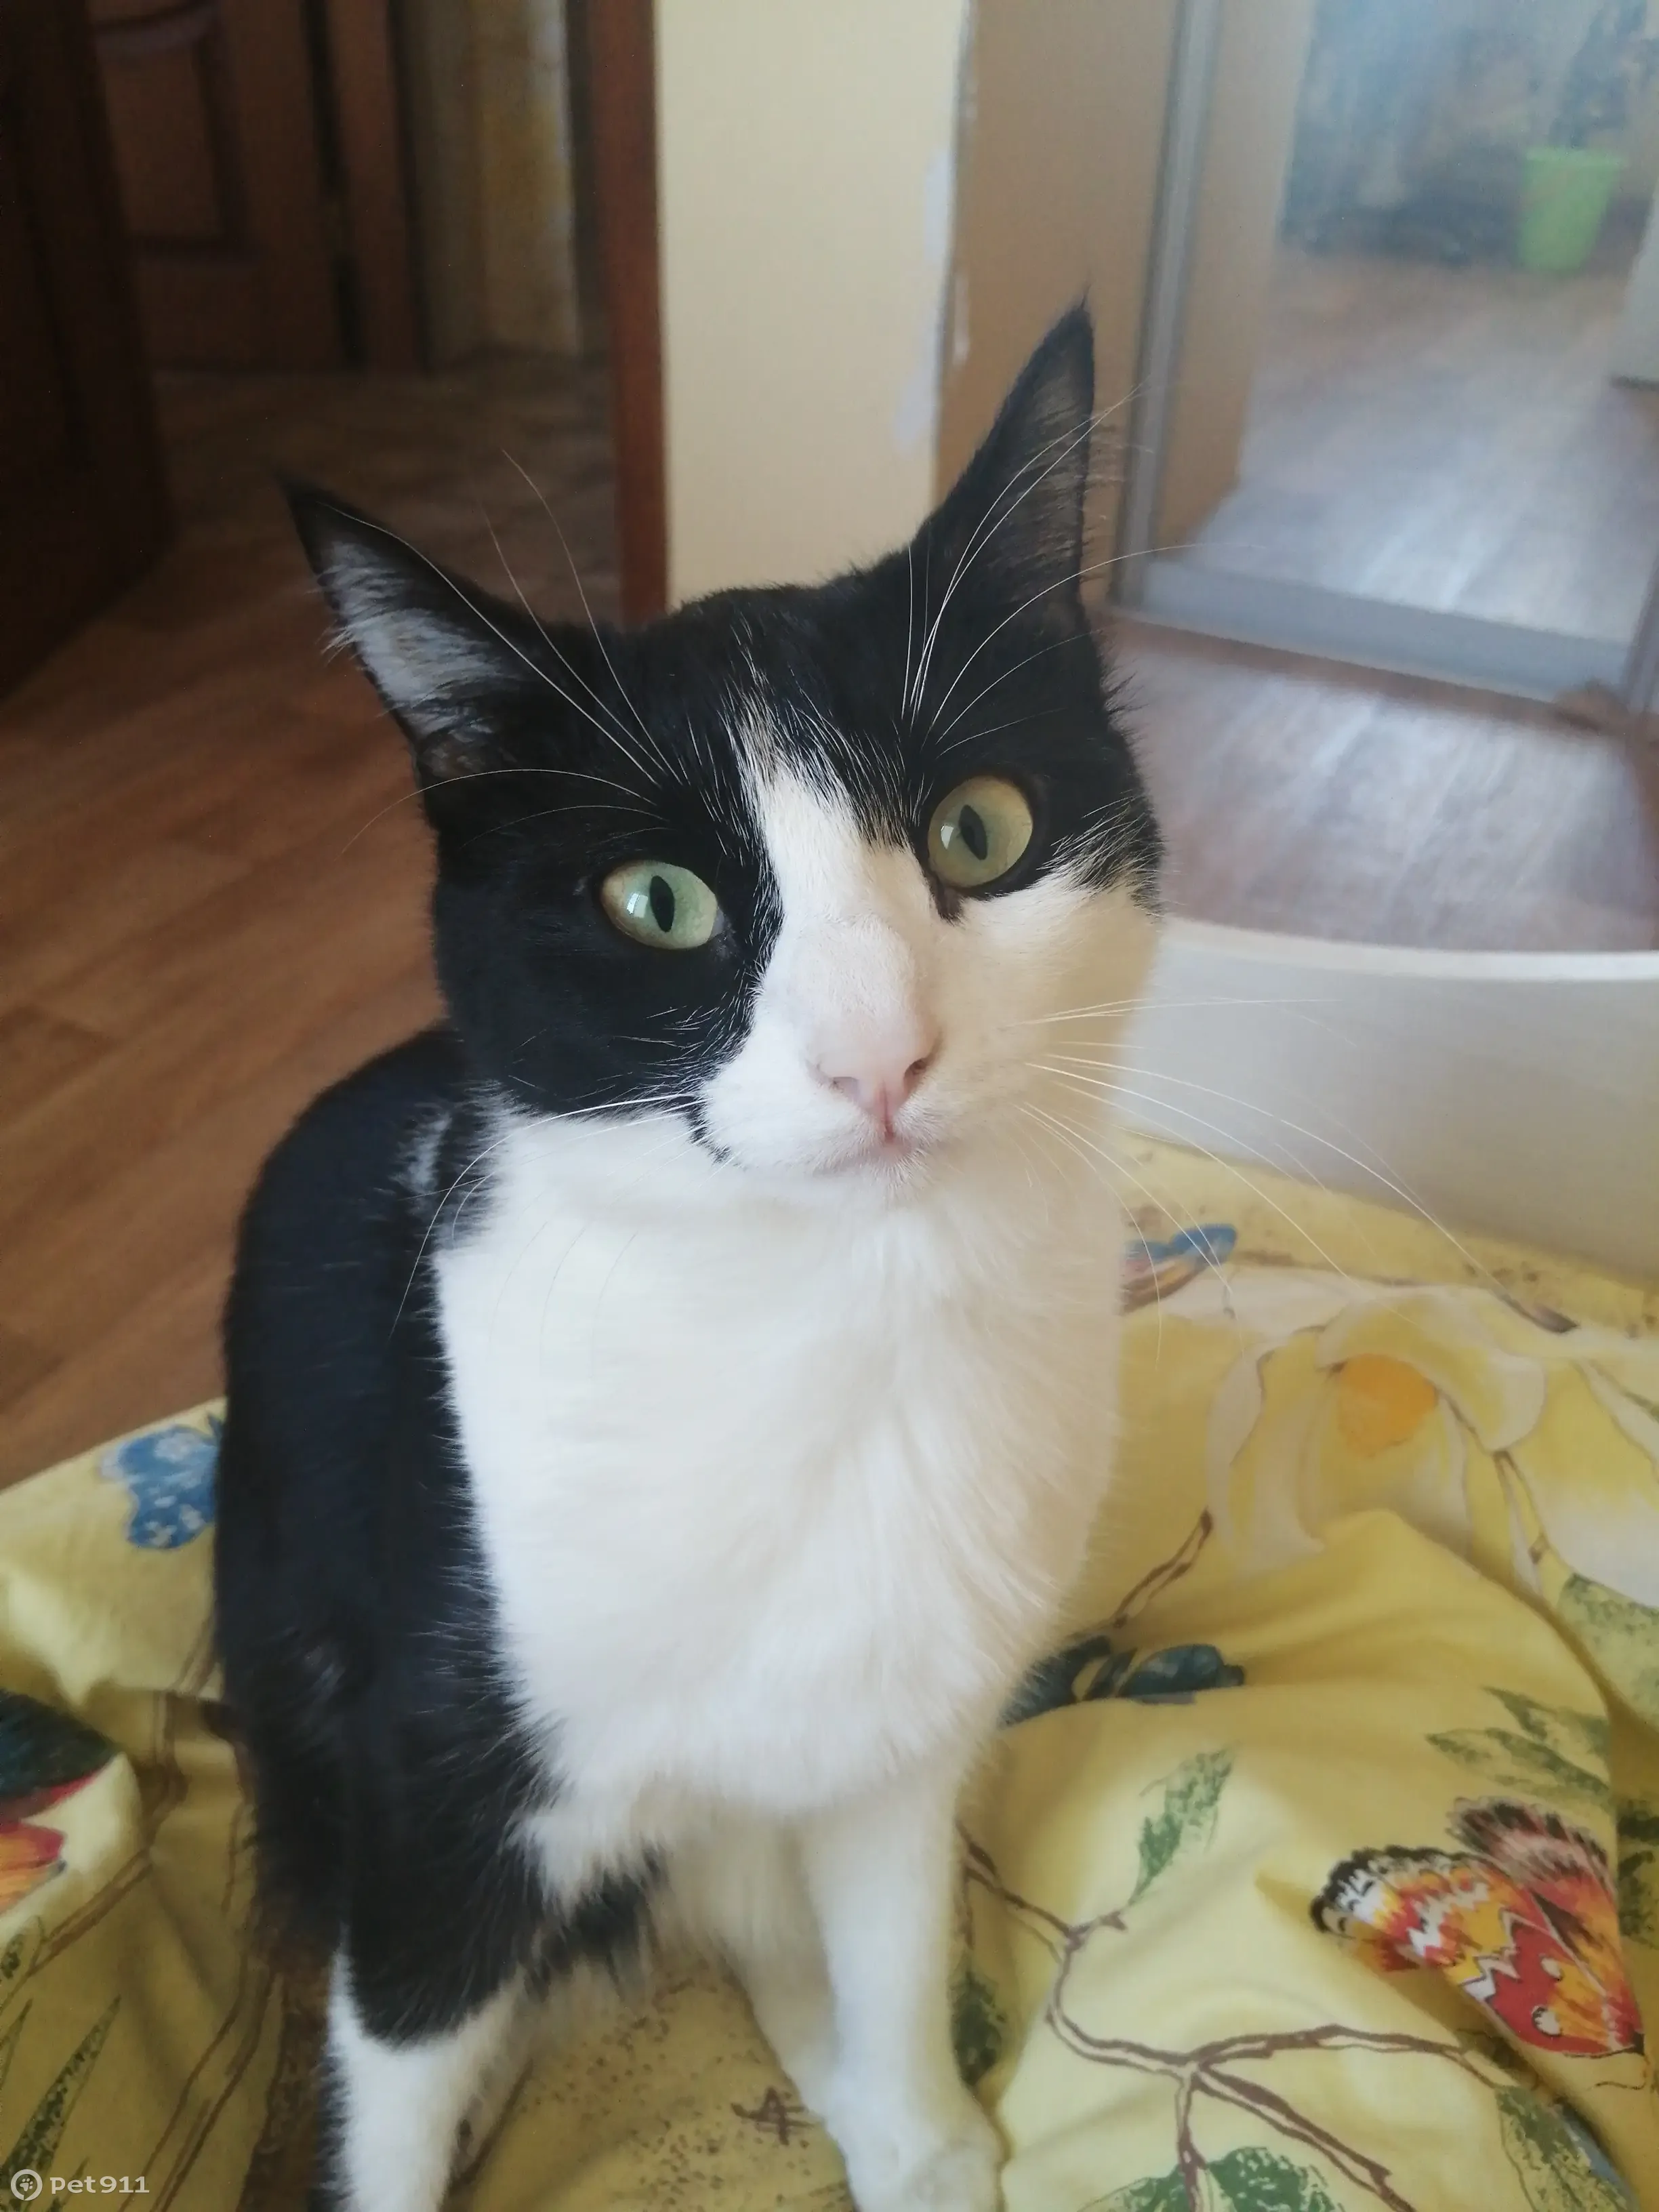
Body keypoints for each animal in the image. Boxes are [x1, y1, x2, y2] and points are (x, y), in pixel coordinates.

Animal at [214, 306, 1162, 2212]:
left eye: (979, 829)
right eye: (659, 902)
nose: (880, 1057)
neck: (839, 1323)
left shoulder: (900, 1736)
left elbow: (891, 1936)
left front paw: (920, 2131)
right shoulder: (441, 1774)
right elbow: (400, 2047)